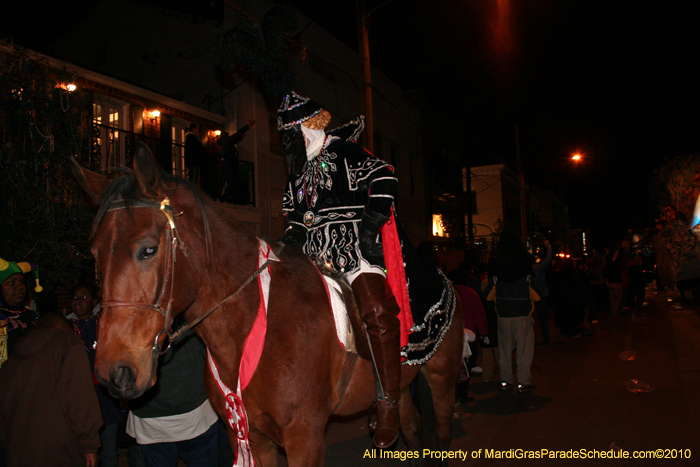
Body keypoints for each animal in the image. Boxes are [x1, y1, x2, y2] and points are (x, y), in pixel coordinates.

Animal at [71, 144, 464, 466]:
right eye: (94, 255)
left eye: (148, 249)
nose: (114, 373)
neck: (253, 324)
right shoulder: (248, 437)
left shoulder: (305, 438)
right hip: (403, 388)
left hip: (441, 379)